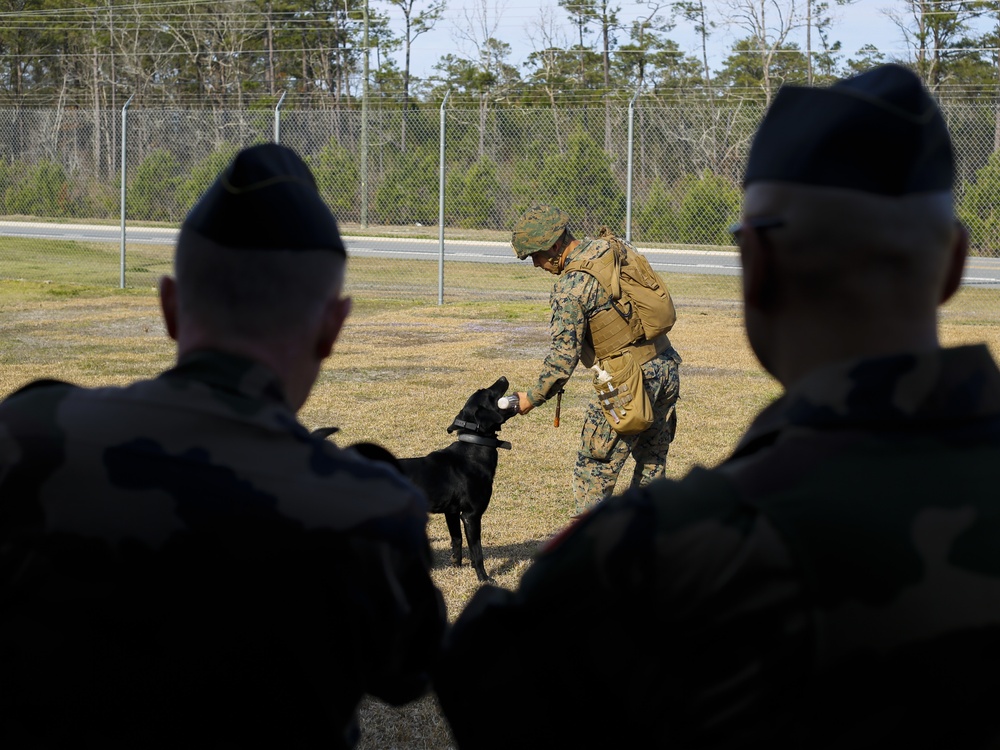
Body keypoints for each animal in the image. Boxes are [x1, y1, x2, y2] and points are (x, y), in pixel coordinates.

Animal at [314, 378, 520, 584]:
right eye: (488, 393)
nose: (503, 378)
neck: (474, 448)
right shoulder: (471, 515)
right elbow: (477, 551)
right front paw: (484, 578)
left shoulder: (452, 512)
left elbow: (457, 541)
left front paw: (457, 567)